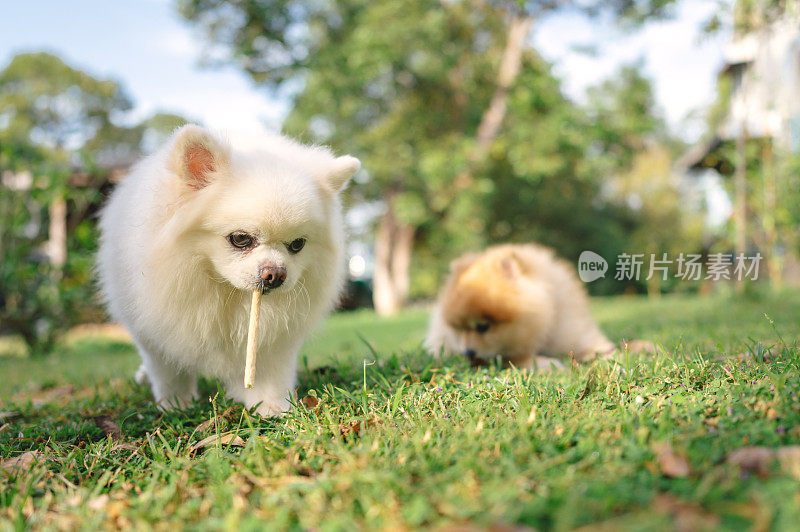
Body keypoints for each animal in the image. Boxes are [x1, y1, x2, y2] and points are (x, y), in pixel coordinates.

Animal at [98, 125, 360, 416]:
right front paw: (176, 406)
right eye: (240, 239)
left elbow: (270, 374)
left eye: (297, 244)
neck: (225, 294)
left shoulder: (274, 340)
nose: (276, 274)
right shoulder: (156, 333)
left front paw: (273, 408)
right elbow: (169, 374)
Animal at [424, 243, 644, 368]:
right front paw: (546, 363)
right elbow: (514, 358)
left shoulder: (572, 331)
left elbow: (605, 349)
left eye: (483, 326)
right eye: (459, 329)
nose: (467, 352)